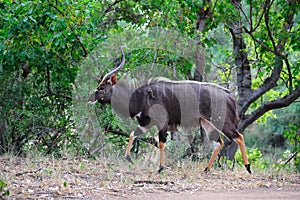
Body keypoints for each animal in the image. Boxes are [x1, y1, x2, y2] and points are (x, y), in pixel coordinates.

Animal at [89, 49, 251, 173]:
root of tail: (229, 96)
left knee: (239, 136)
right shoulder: (145, 123)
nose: (90, 98)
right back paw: (206, 169)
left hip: (222, 122)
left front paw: (161, 168)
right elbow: (132, 134)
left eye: (102, 87)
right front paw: (128, 158)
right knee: (219, 142)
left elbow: (161, 143)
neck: (141, 97)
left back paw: (248, 167)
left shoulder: (162, 123)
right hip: (207, 123)